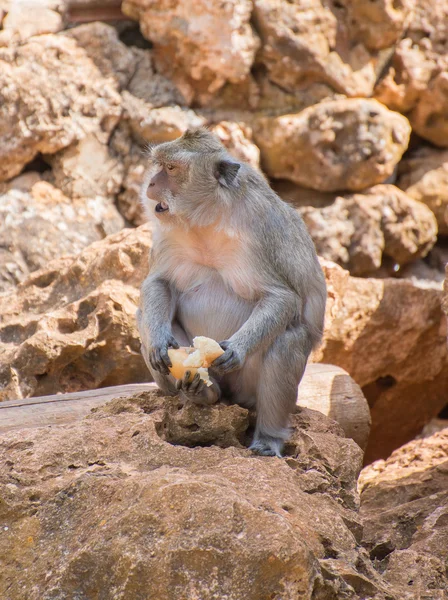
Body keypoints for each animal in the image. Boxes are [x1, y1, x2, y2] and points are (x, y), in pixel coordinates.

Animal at [136, 126, 326, 454]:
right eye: (159, 165)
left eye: (171, 169)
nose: (151, 183)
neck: (206, 220)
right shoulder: (167, 234)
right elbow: (158, 283)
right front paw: (159, 341)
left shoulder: (258, 232)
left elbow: (281, 296)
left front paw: (236, 349)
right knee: (142, 314)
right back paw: (202, 392)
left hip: (246, 387)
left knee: (287, 339)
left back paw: (268, 438)